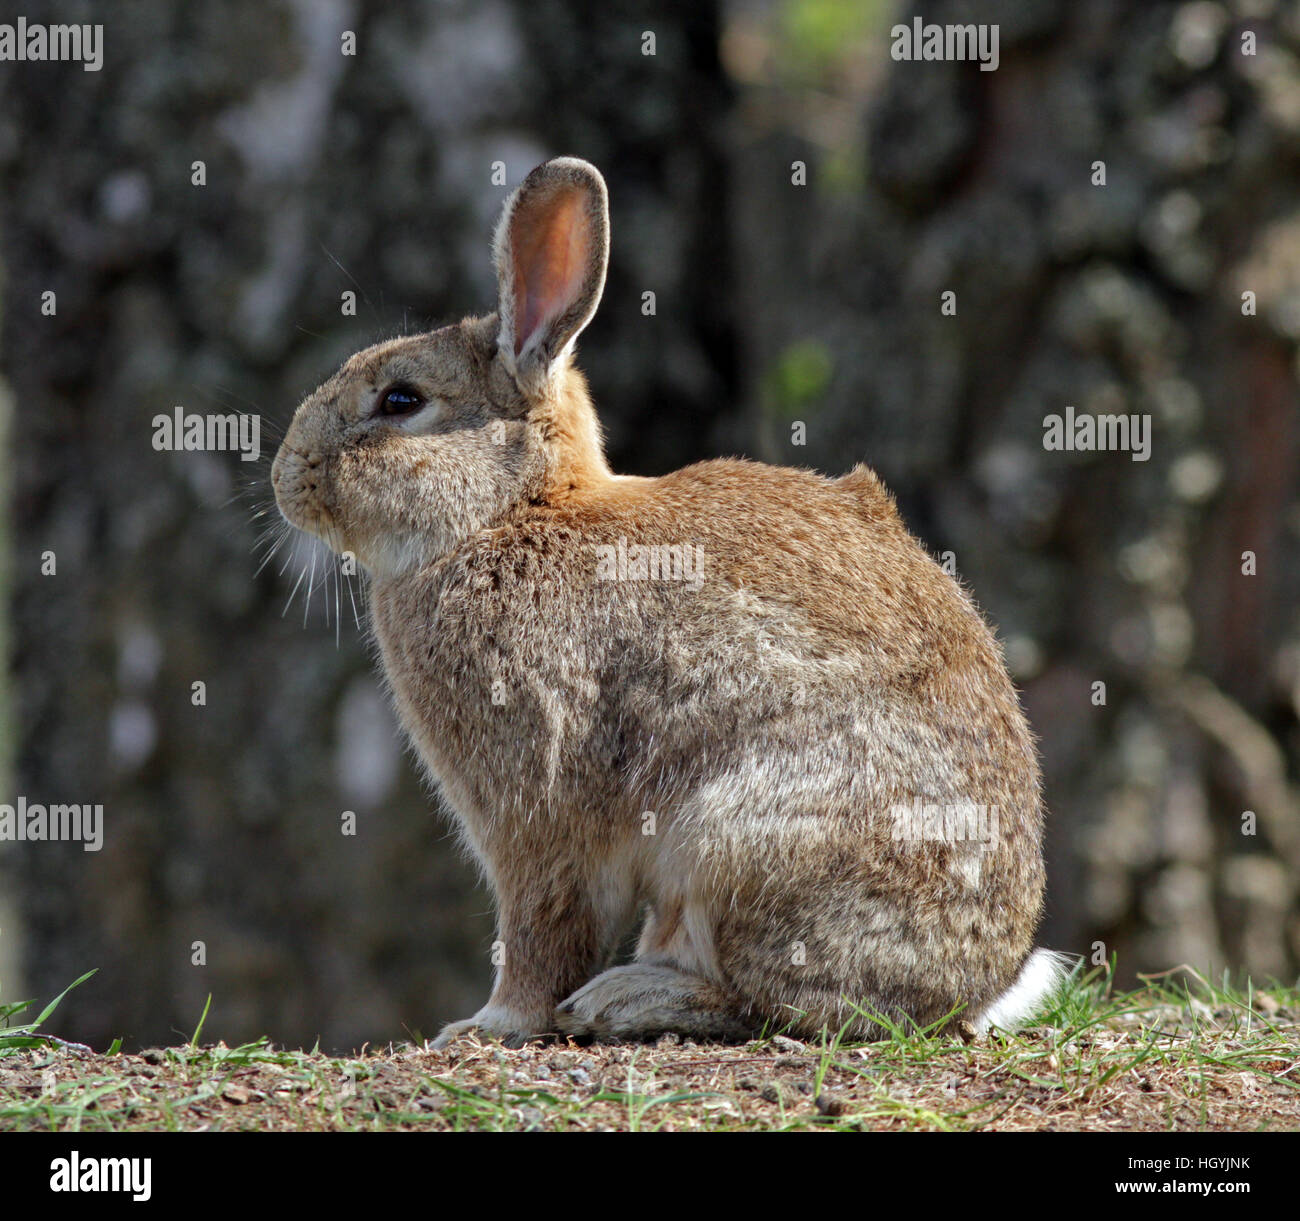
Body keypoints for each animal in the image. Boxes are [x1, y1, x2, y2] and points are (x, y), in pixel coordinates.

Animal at [269, 155, 1060, 1050]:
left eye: (400, 401)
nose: (285, 475)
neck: (511, 512)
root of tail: (971, 986)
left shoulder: (535, 805)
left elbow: (542, 923)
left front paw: (489, 1023)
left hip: (741, 840)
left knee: (776, 1001)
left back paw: (627, 999)